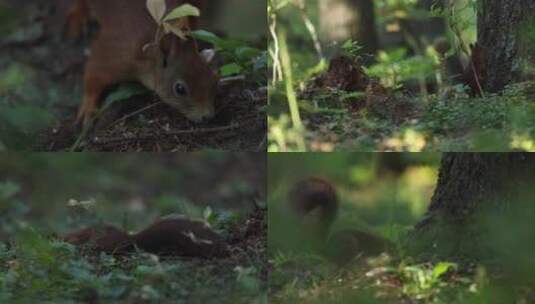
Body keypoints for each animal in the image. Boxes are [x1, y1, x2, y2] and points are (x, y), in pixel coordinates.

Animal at [64, 0, 218, 125]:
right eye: (180, 89)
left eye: (213, 80)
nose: (207, 117)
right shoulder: (118, 52)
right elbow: (94, 73)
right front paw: (88, 107)